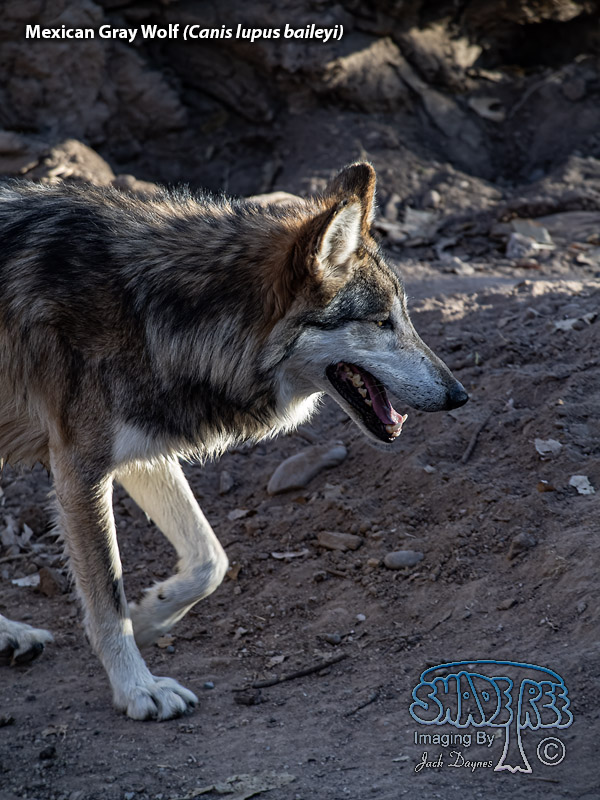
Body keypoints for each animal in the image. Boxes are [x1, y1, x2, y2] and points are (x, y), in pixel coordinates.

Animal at [0, 163, 467, 720]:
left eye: (407, 318)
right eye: (381, 322)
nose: (459, 395)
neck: (151, 310)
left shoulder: (138, 450)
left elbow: (211, 560)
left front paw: (152, 616)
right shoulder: (79, 468)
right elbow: (108, 596)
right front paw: (138, 689)